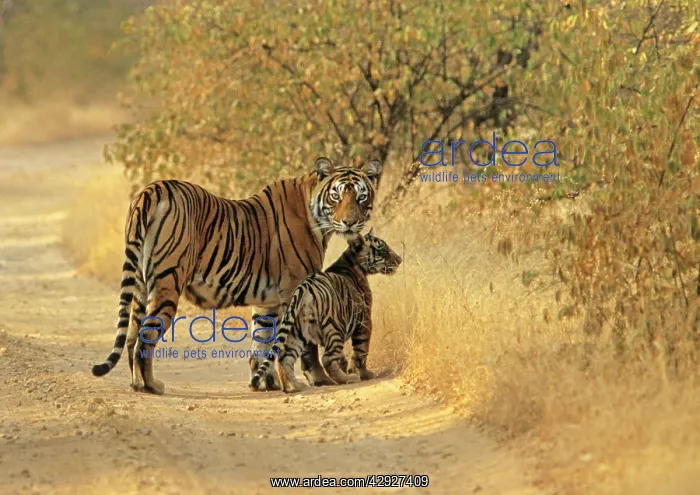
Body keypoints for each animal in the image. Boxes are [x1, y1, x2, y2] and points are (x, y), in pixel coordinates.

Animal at [91, 156, 383, 394]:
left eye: (361, 197)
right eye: (336, 196)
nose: (350, 222)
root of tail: (151, 189)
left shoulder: (269, 301)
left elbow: (263, 341)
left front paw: (264, 383)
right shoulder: (299, 290)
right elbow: (302, 344)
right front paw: (317, 379)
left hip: (140, 284)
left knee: (131, 335)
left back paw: (136, 384)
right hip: (167, 282)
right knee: (146, 334)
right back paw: (152, 386)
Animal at [249, 228, 402, 393]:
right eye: (383, 250)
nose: (399, 259)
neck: (351, 261)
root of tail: (305, 287)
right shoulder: (365, 320)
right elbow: (361, 350)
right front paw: (364, 374)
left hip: (297, 330)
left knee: (285, 356)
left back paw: (294, 387)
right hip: (335, 327)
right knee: (327, 358)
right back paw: (347, 379)